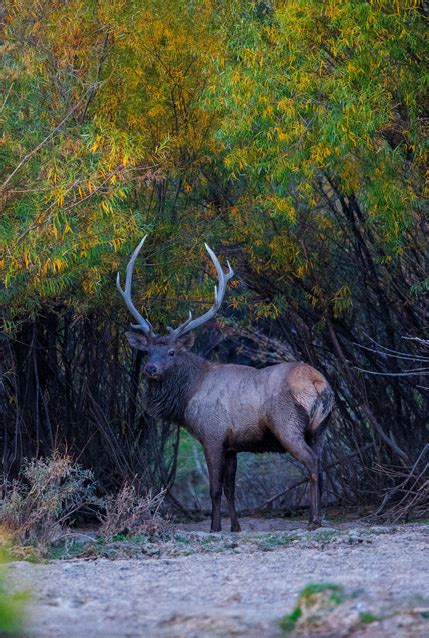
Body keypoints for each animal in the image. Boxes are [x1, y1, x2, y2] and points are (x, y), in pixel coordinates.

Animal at [118, 238, 334, 532]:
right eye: (147, 351)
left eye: (172, 352)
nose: (151, 369)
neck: (188, 396)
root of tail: (319, 384)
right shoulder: (233, 444)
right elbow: (231, 488)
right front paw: (235, 527)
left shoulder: (212, 434)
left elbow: (214, 488)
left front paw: (214, 527)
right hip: (321, 428)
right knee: (321, 467)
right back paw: (317, 516)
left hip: (287, 425)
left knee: (311, 464)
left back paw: (313, 520)